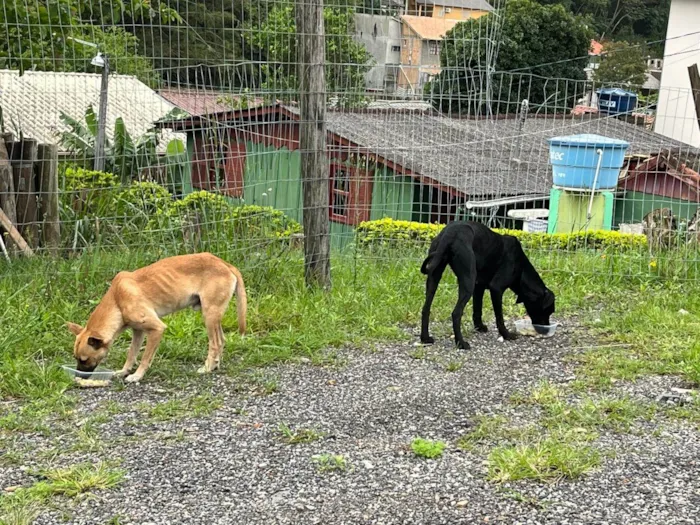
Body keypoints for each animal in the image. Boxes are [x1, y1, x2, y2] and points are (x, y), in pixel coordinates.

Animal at [66, 253, 246, 380]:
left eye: (84, 359)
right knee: (221, 340)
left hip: (209, 316)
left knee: (215, 343)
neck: (117, 299)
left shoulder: (157, 329)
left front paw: (136, 376)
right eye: (76, 358)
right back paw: (214, 365)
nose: (77, 377)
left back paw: (207, 367)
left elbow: (145, 358)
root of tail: (225, 264)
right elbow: (131, 354)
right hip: (213, 317)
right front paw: (124, 371)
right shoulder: (138, 332)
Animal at [418, 221, 556, 348]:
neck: (522, 269)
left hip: (434, 276)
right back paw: (461, 343)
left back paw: (425, 338)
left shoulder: (478, 287)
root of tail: (450, 233)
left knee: (426, 308)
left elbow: (477, 309)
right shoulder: (496, 288)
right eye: (548, 311)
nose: (547, 330)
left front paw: (479, 327)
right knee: (456, 313)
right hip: (468, 281)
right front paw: (506, 335)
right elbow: (499, 317)